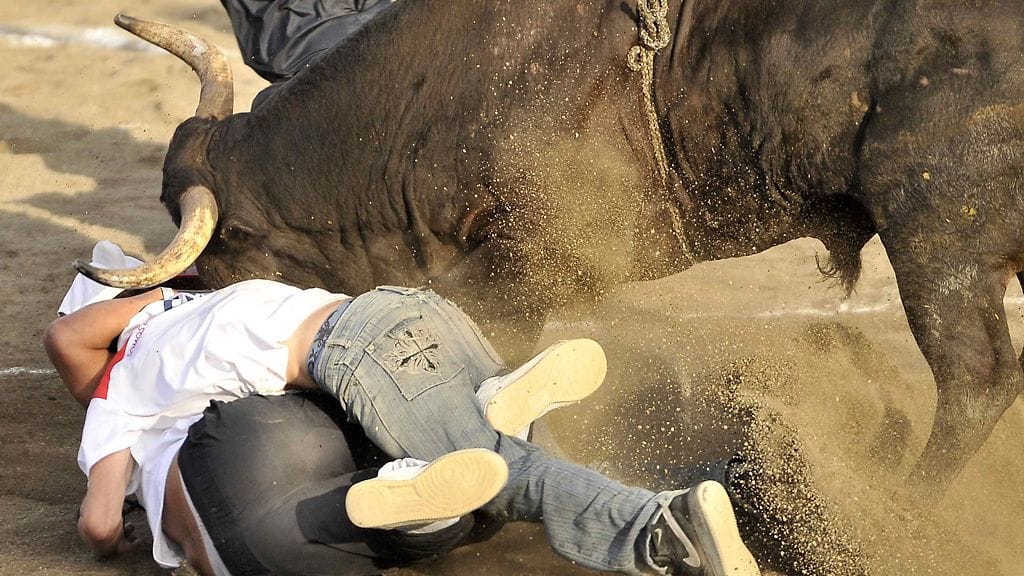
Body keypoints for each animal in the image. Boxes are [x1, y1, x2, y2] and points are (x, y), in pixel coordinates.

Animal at [79, 0, 1024, 500]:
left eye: (232, 256)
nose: (150, 323)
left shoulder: (525, 266)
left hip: (940, 237)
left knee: (976, 379)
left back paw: (904, 501)